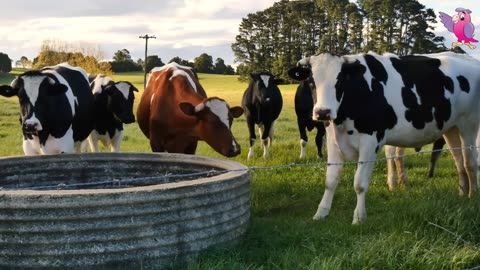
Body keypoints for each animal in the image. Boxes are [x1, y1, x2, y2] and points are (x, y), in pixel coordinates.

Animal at [288, 52, 480, 224]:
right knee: (458, 160)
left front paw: (359, 217)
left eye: (340, 81)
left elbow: (359, 183)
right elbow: (330, 180)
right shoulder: (333, 141)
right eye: (311, 82)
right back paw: (462, 192)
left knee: (469, 162)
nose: (323, 112)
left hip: (469, 125)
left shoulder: (370, 142)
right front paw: (321, 213)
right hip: (451, 128)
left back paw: (472, 195)